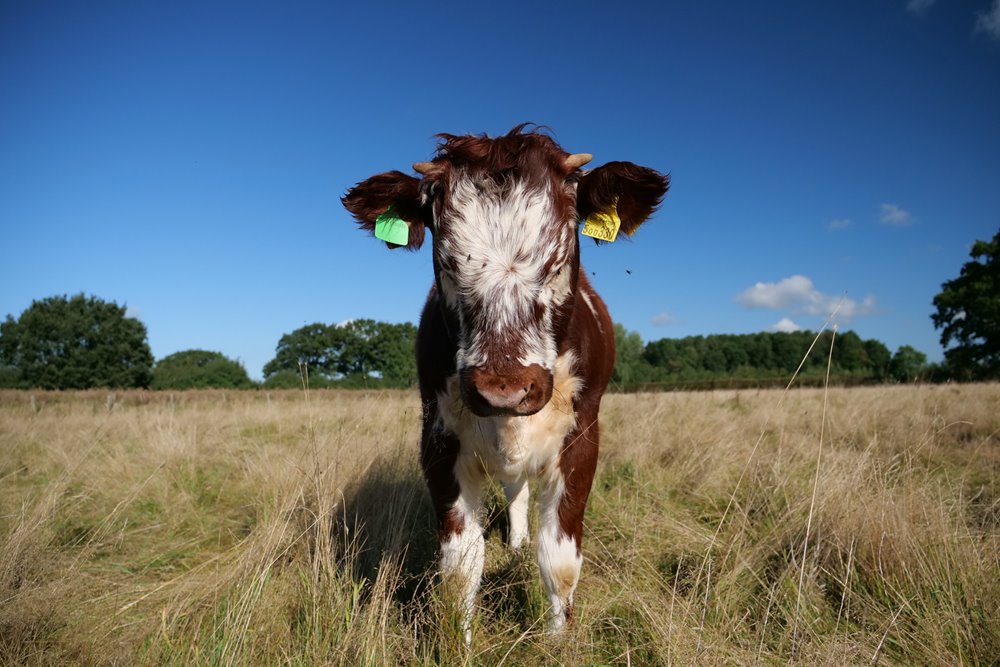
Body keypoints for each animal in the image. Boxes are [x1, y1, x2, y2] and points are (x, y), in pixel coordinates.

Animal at [344, 125, 672, 640]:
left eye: (559, 259)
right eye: (446, 261)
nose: (504, 389)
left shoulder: (583, 439)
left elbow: (559, 558)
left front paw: (558, 642)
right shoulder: (438, 440)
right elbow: (460, 564)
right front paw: (456, 644)